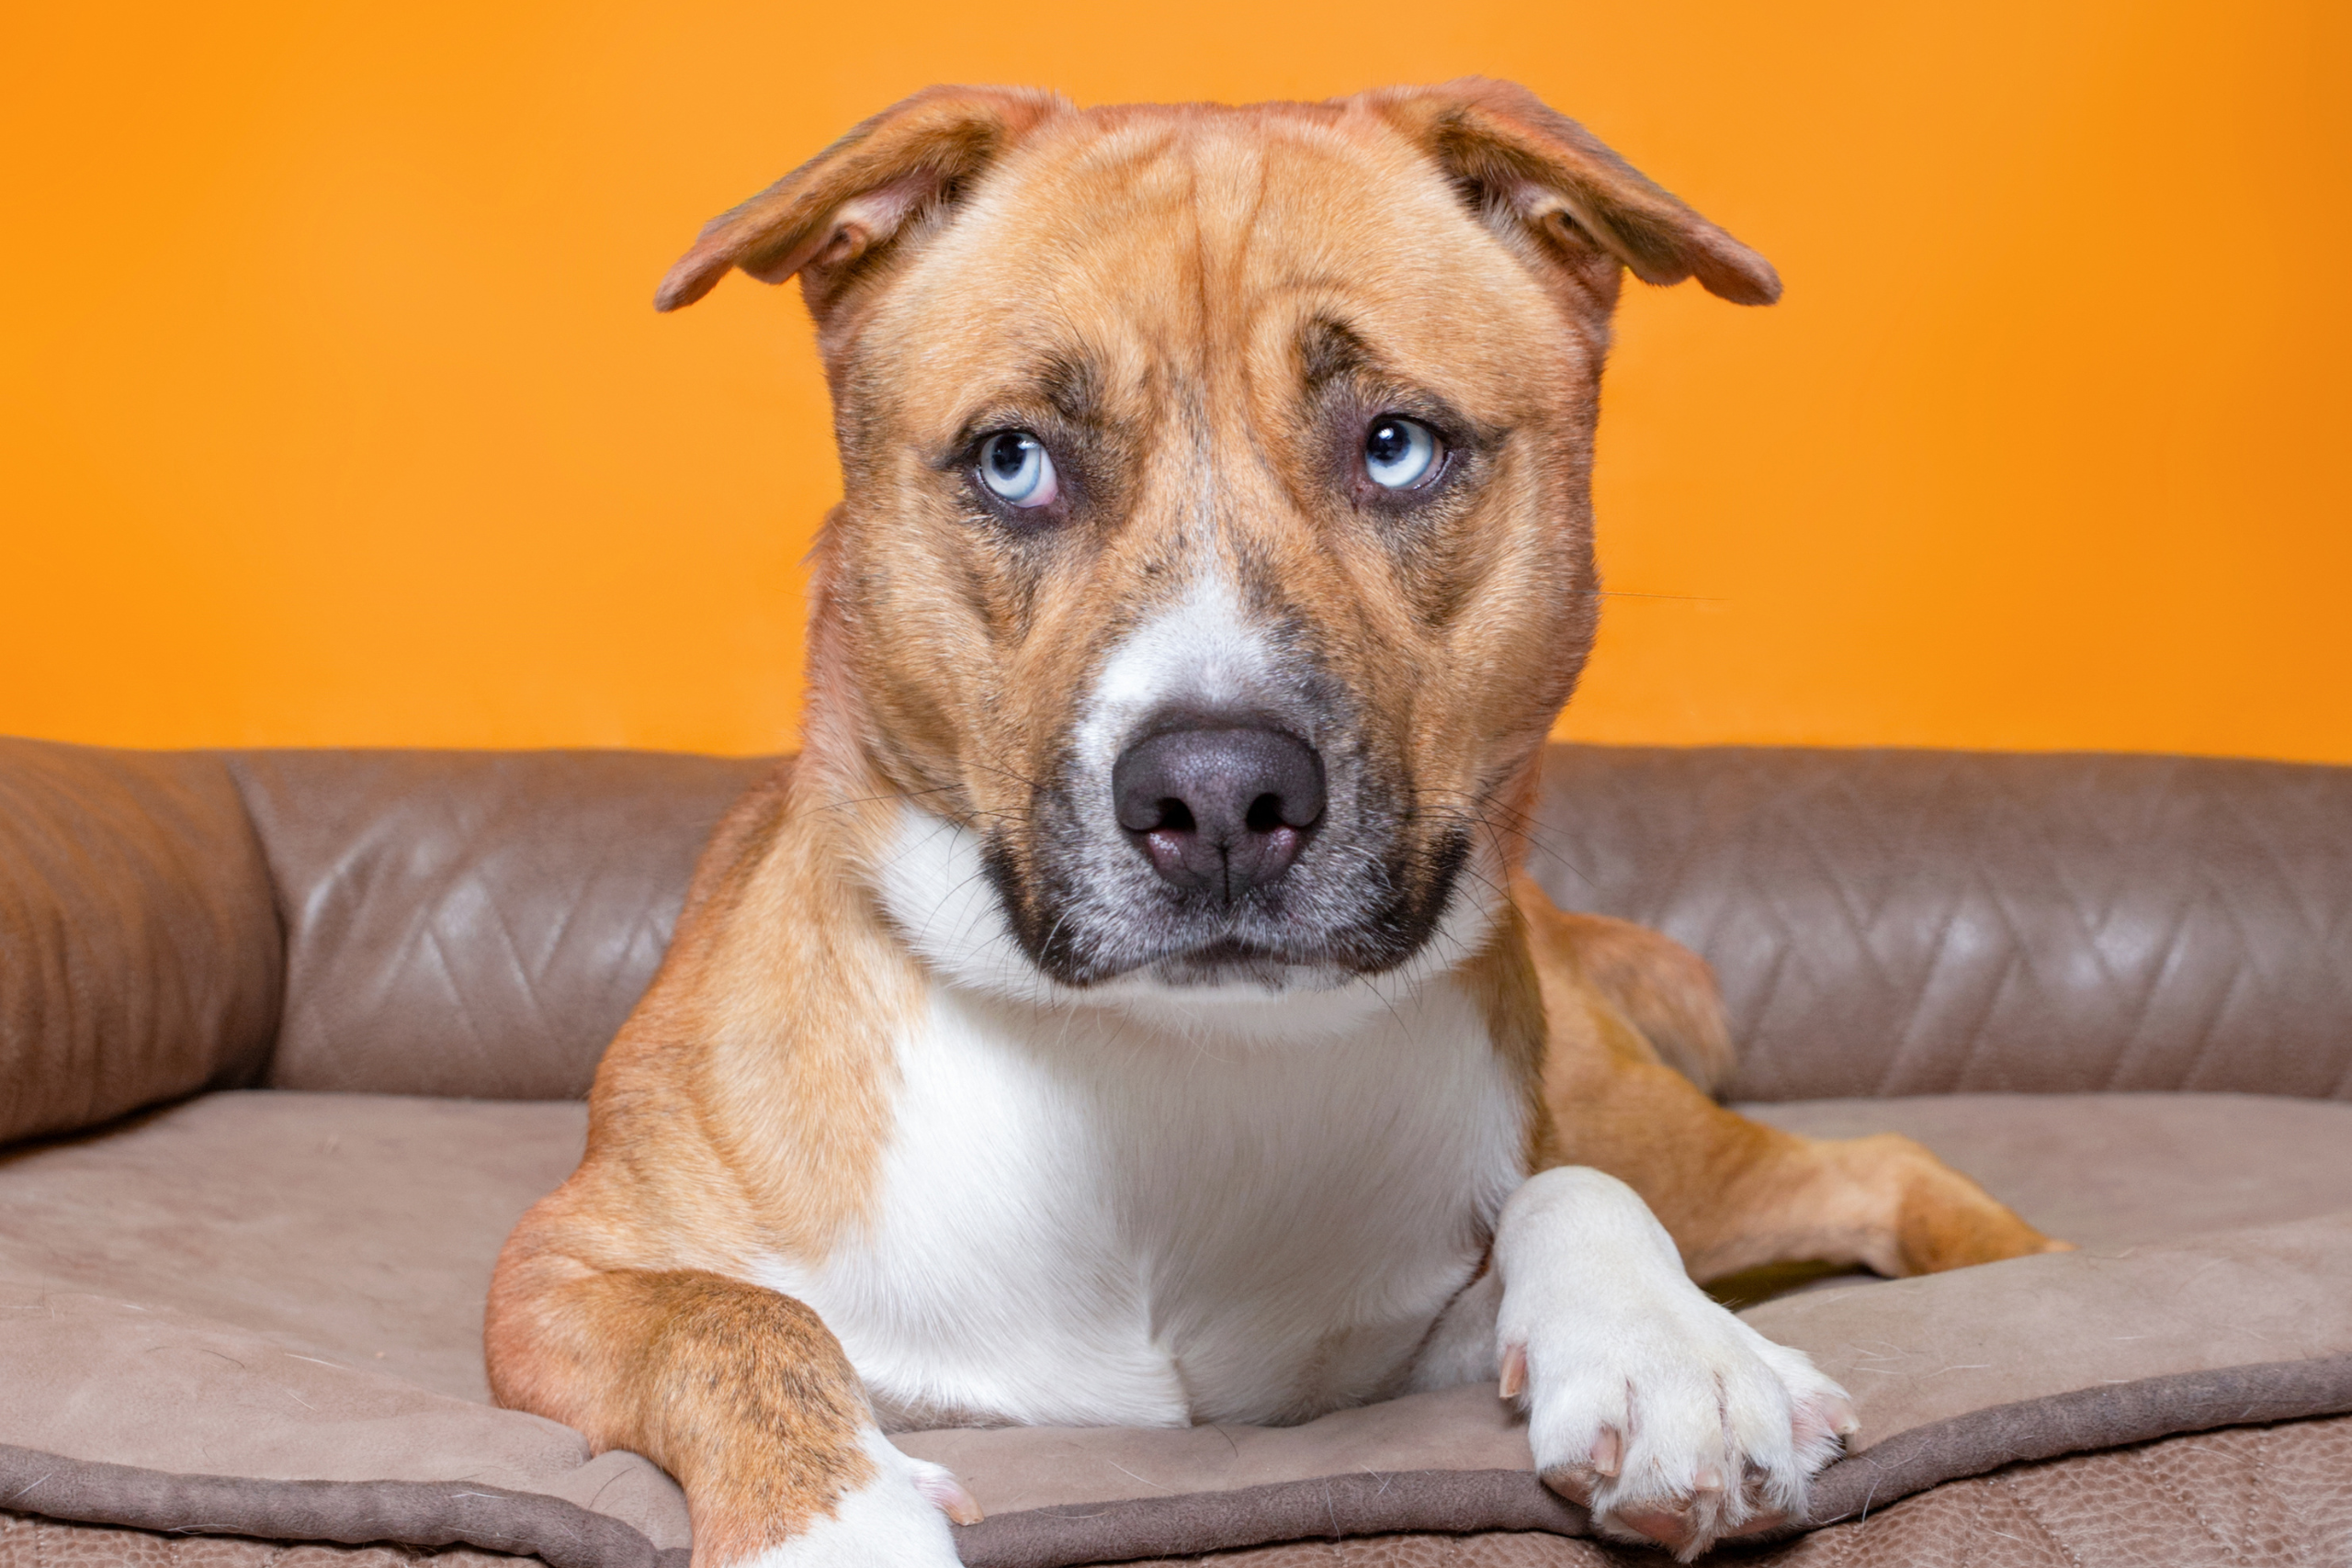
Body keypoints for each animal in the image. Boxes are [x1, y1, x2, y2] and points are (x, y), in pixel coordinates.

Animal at [481, 83, 2060, 1568]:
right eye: (1013, 461)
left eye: (1396, 446)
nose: (1219, 794)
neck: (1169, 1065)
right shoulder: (555, 1277)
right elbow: (732, 1319)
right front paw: (834, 1520)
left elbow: (1569, 1188)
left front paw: (1677, 1360)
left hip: (1669, 1127)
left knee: (1868, 1165)